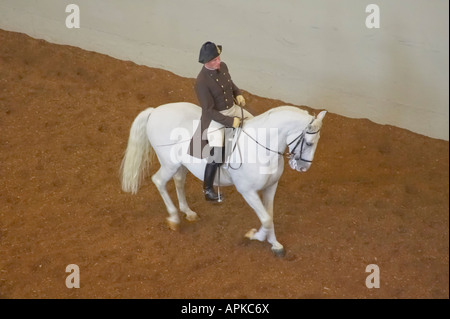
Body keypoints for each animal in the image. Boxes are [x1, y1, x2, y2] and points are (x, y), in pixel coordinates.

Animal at [121, 103, 326, 258]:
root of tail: (155, 111)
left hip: (180, 165)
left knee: (179, 181)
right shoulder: (248, 191)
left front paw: (274, 243)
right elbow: (266, 219)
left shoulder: (271, 187)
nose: (303, 167)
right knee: (159, 181)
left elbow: (270, 215)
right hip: (168, 164)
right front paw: (254, 236)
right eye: (309, 143)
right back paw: (174, 218)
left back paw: (188, 212)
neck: (261, 147)